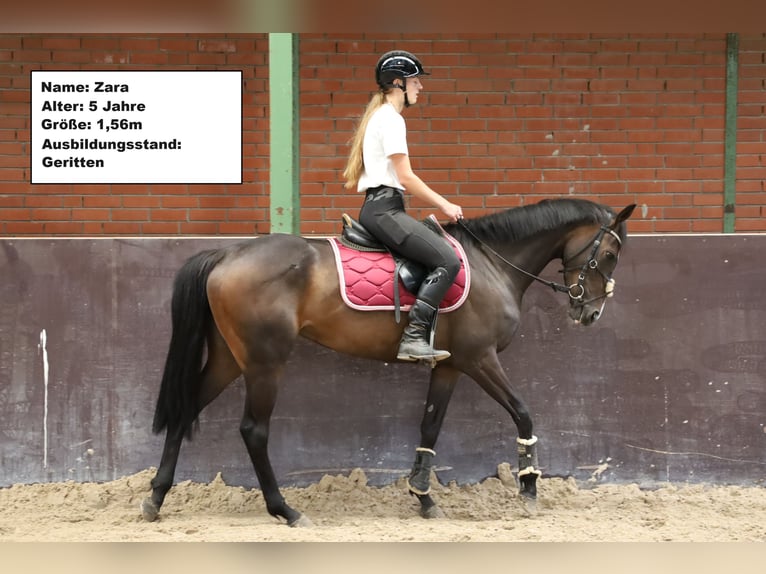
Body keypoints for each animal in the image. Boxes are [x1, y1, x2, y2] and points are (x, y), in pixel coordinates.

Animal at [142, 199, 636, 532]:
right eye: (610, 255)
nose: (591, 313)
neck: (492, 264)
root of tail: (226, 254)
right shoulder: (480, 358)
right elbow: (523, 413)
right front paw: (529, 488)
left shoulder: (450, 366)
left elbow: (430, 426)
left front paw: (423, 497)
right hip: (265, 363)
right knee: (253, 431)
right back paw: (285, 509)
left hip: (230, 358)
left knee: (186, 410)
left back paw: (156, 499)